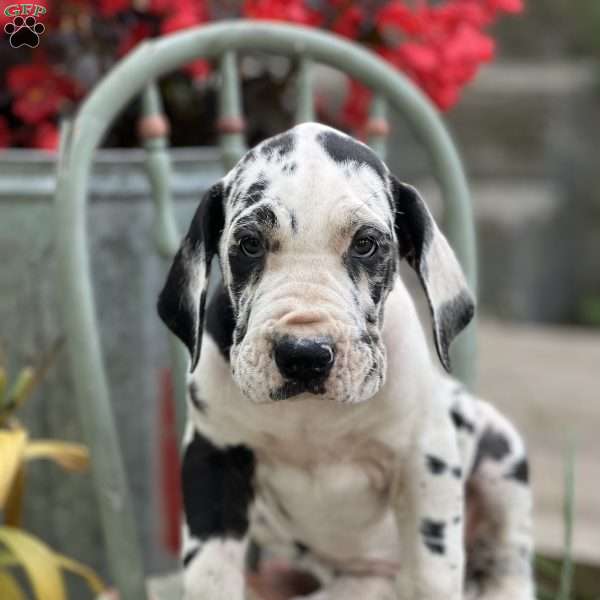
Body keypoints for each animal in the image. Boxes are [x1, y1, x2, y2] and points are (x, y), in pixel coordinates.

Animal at [156, 123, 536, 600]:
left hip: (500, 454)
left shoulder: (425, 458)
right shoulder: (213, 456)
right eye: (248, 244)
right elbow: (210, 574)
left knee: (508, 557)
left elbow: (431, 572)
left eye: (366, 244)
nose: (303, 355)